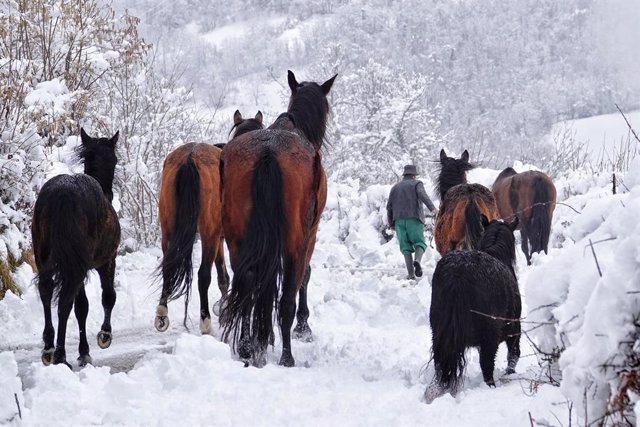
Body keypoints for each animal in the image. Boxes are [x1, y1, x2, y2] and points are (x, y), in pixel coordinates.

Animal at [31, 129, 120, 370]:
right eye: (115, 159)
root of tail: (63, 194)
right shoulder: (106, 261)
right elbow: (108, 297)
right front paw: (104, 336)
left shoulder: (77, 262)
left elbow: (82, 307)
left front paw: (83, 351)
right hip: (76, 264)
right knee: (64, 303)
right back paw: (60, 355)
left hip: (46, 256)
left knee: (46, 291)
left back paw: (49, 348)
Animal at [154, 109, 262, 334]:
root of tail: (189, 159)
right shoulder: (222, 238)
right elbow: (223, 275)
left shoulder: (219, 238)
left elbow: (223, 277)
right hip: (208, 234)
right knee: (204, 275)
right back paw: (206, 322)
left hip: (169, 230)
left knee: (168, 266)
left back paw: (161, 314)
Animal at [220, 71, 338, 368]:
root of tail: (268, 154)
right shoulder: (310, 234)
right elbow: (303, 276)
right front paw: (303, 328)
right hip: (296, 240)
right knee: (286, 299)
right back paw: (286, 355)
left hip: (236, 239)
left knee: (247, 287)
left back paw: (247, 347)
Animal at [424, 211, 520, 404]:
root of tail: (458, 274)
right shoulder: (514, 328)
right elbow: (513, 355)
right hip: (490, 338)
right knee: (487, 366)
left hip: (438, 334)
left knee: (441, 365)